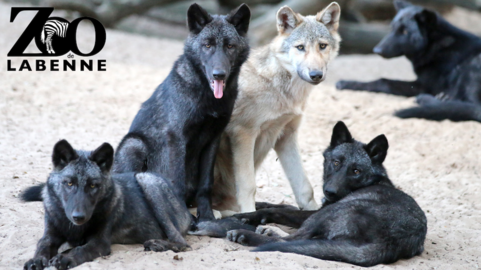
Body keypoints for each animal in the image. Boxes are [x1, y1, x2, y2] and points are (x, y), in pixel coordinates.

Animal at [20, 140, 193, 268]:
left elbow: (81, 249)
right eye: (69, 183)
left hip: (146, 179)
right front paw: (37, 260)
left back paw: (157, 244)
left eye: (92, 185)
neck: (74, 228)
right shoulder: (50, 235)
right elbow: (42, 245)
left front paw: (66, 258)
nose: (78, 217)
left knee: (183, 243)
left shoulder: (100, 242)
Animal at [112, 2, 251, 221]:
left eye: (230, 46)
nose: (219, 74)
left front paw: (206, 216)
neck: (208, 98)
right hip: (133, 145)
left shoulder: (214, 139)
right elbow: (176, 181)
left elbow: (206, 184)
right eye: (207, 45)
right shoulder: (176, 138)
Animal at [210, 1, 342, 217]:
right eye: (300, 47)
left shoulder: (286, 136)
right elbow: (248, 186)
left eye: (322, 46)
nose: (316, 74)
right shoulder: (243, 134)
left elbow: (305, 188)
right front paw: (249, 215)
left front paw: (313, 213)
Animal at [223, 122, 426, 268]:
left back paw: (248, 234)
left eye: (356, 171)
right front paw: (258, 206)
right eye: (336, 163)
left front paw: (246, 216)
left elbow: (279, 211)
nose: (330, 192)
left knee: (292, 239)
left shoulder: (317, 211)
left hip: (329, 212)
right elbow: (280, 206)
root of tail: (388, 243)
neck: (372, 181)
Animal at [334, 0, 480, 122]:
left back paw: (429, 99)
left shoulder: (424, 85)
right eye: (392, 28)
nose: (377, 50)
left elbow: (383, 81)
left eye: (405, 32)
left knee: (471, 106)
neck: (436, 45)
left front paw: (346, 83)